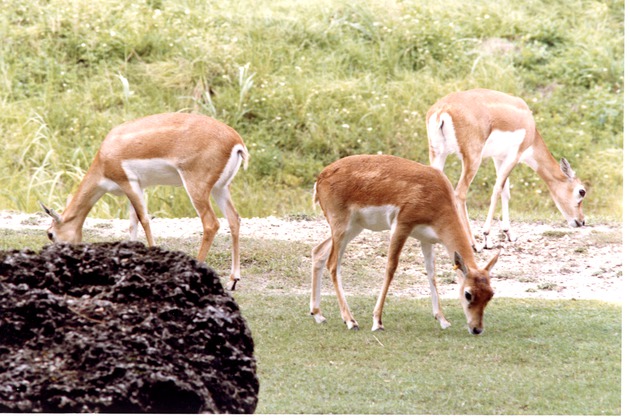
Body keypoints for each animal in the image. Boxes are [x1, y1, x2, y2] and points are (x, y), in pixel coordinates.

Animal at [39, 111, 252, 288]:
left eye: (50, 234)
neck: (106, 155)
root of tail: (236, 141)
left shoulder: (129, 183)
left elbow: (144, 220)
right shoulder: (136, 187)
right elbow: (133, 223)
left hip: (196, 187)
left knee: (211, 223)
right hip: (220, 189)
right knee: (234, 219)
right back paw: (233, 280)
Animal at [310, 154, 498, 334]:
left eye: (490, 294)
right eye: (468, 294)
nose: (477, 329)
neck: (436, 196)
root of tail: (321, 177)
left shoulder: (426, 239)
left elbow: (431, 273)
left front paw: (443, 320)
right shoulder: (401, 226)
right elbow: (391, 268)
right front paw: (377, 322)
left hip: (353, 228)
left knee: (318, 252)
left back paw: (318, 315)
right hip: (342, 227)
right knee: (333, 264)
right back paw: (351, 321)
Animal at [428, 88, 592, 249]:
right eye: (581, 191)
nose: (581, 221)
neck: (529, 126)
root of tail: (443, 109)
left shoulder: (499, 158)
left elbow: (505, 192)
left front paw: (509, 234)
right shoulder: (514, 156)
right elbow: (498, 189)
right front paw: (487, 237)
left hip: (438, 154)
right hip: (473, 158)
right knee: (460, 193)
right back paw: (474, 244)